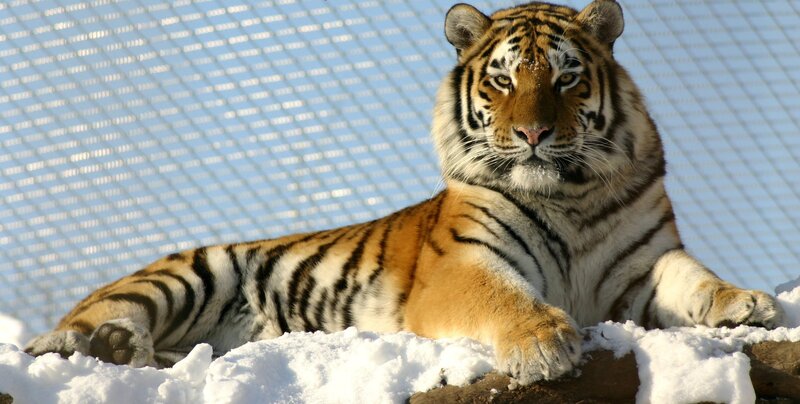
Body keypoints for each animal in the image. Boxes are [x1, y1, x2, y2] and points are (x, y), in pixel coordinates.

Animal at [25, 0, 784, 385]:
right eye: (504, 80)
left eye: (566, 79)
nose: (534, 132)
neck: (569, 197)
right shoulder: (464, 264)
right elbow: (507, 298)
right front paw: (543, 343)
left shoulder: (640, 265)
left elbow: (694, 279)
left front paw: (745, 302)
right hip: (188, 273)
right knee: (78, 327)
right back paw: (106, 345)